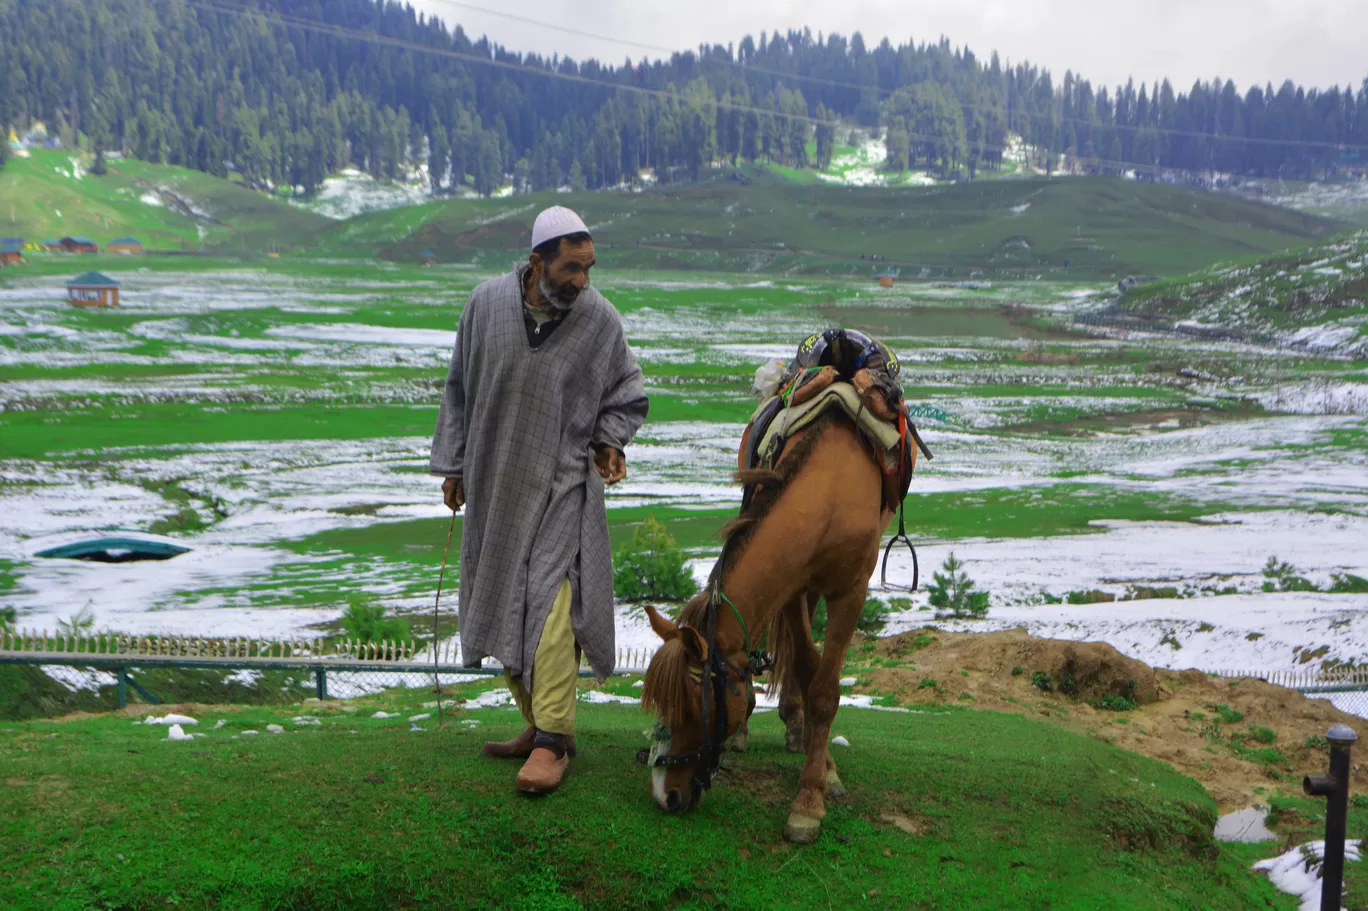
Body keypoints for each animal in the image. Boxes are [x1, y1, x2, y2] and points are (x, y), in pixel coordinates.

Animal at [637, 407, 891, 842]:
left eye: (691, 708)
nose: (663, 794)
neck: (830, 490)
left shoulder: (850, 592)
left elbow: (824, 691)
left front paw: (809, 802)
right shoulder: (791, 586)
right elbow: (806, 670)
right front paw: (821, 767)